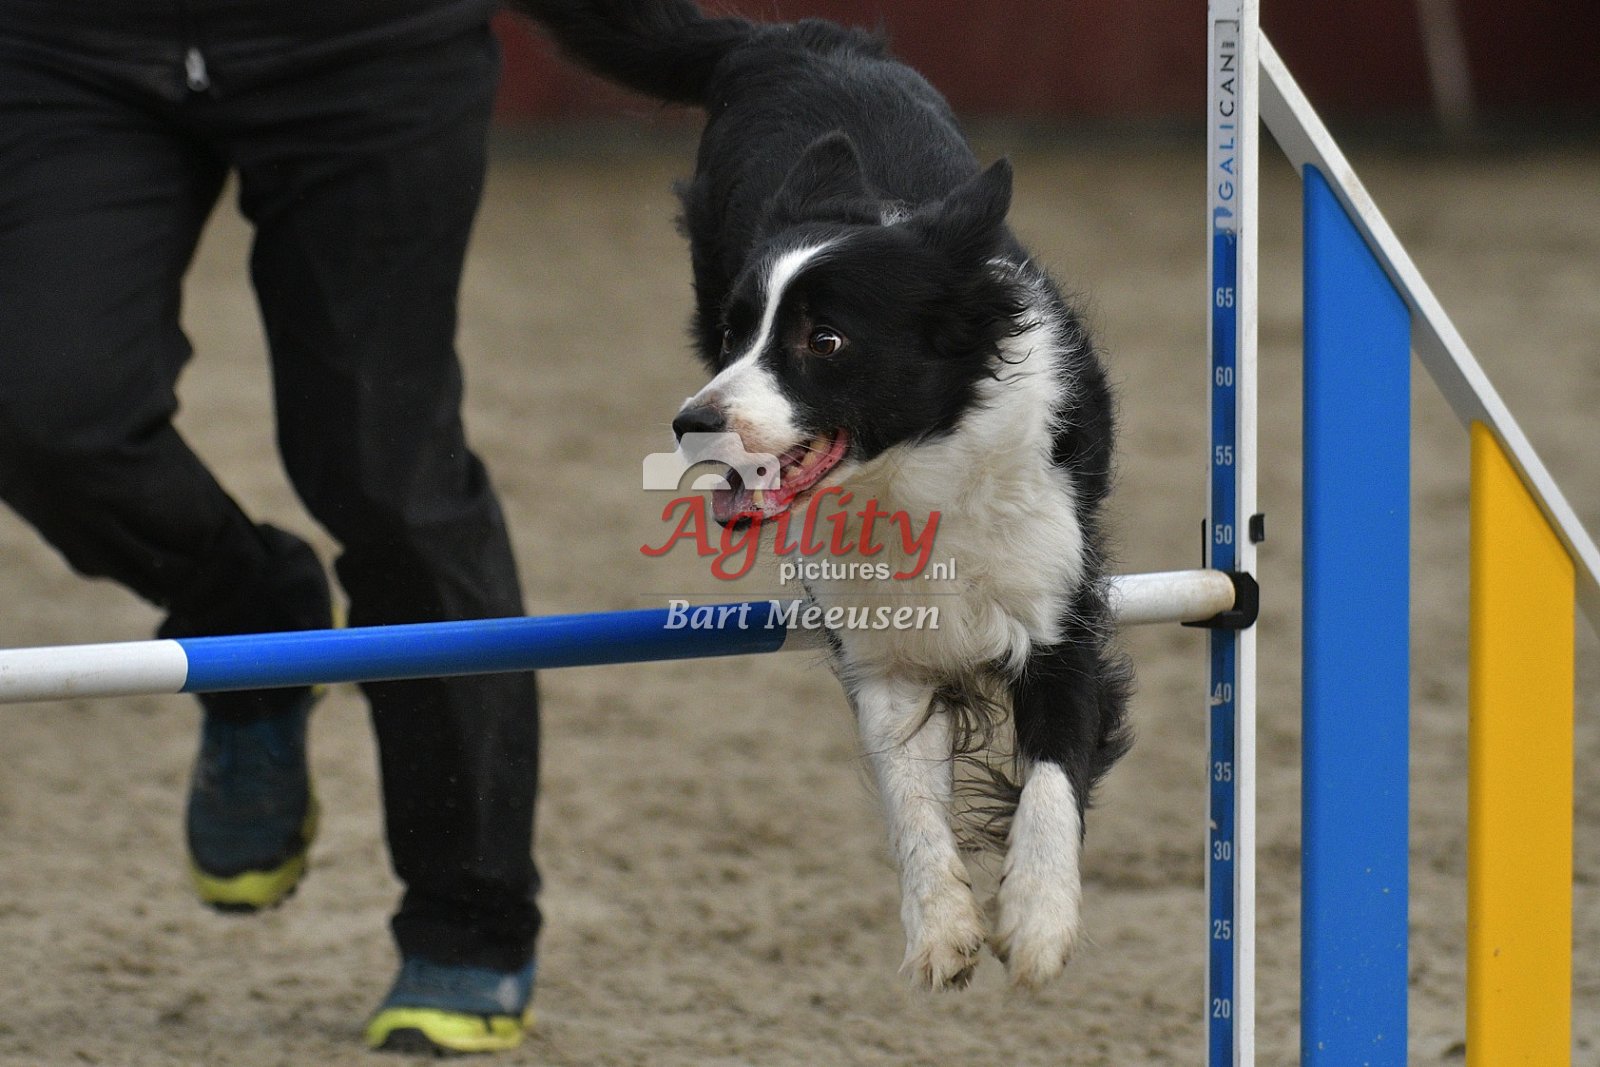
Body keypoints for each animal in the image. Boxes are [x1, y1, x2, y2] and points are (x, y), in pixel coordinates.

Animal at [523, 0, 1132, 990]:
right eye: (737, 332)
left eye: (826, 340)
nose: (691, 422)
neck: (914, 466)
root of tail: (784, 36)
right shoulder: (880, 642)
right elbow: (910, 792)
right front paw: (941, 928)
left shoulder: (1058, 601)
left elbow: (1051, 768)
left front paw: (1039, 918)